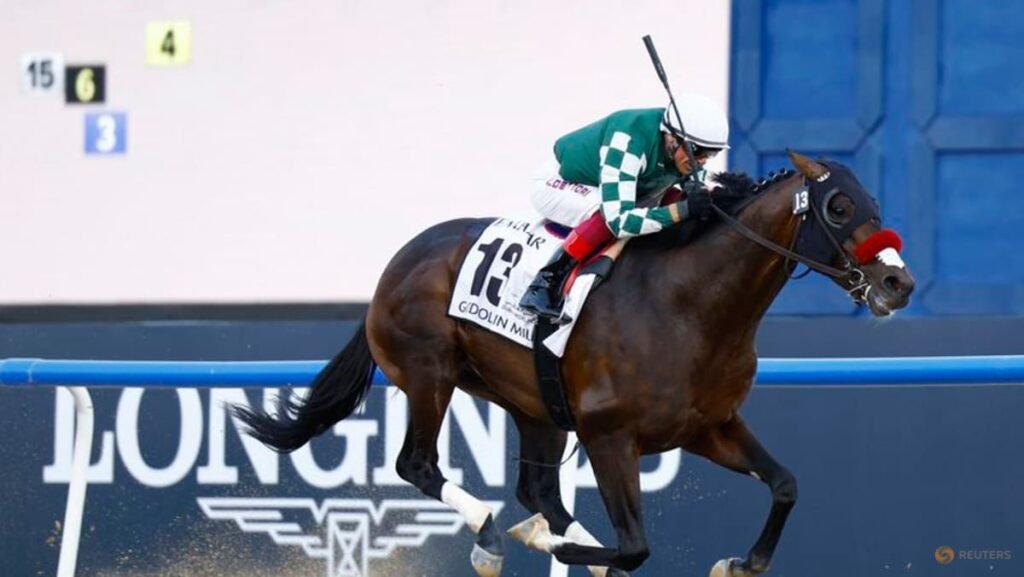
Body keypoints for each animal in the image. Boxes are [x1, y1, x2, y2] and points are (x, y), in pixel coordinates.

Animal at [233, 151, 915, 577]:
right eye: (838, 208)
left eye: (873, 203)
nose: (898, 282)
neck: (690, 305)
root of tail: (397, 262)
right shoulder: (610, 436)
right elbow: (634, 547)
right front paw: (538, 539)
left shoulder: (708, 427)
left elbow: (785, 485)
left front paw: (740, 562)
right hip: (430, 374)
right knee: (418, 465)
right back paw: (493, 537)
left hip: (534, 403)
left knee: (537, 490)